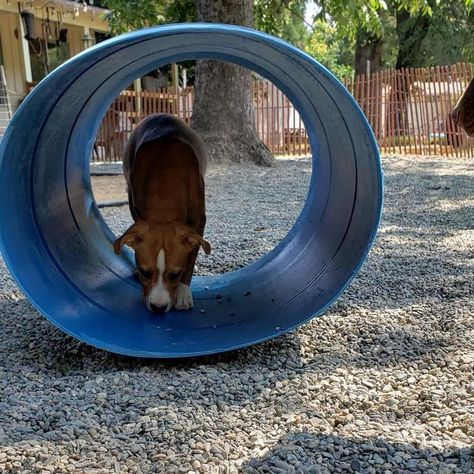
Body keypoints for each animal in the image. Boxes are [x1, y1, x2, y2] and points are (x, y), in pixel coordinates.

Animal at [113, 114, 209, 314]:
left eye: (176, 274)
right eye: (145, 272)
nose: (158, 307)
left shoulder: (198, 220)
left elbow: (191, 256)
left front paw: (183, 293)